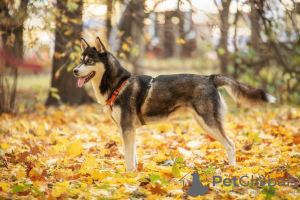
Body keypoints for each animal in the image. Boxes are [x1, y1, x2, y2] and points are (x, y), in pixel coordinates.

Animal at [74, 36, 276, 171]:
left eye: (89, 61)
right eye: (80, 60)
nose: (75, 71)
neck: (118, 85)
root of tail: (210, 78)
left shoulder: (127, 128)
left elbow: (129, 160)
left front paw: (129, 177)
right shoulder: (128, 129)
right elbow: (133, 157)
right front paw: (135, 176)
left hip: (209, 122)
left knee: (231, 144)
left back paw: (232, 170)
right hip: (203, 123)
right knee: (229, 144)